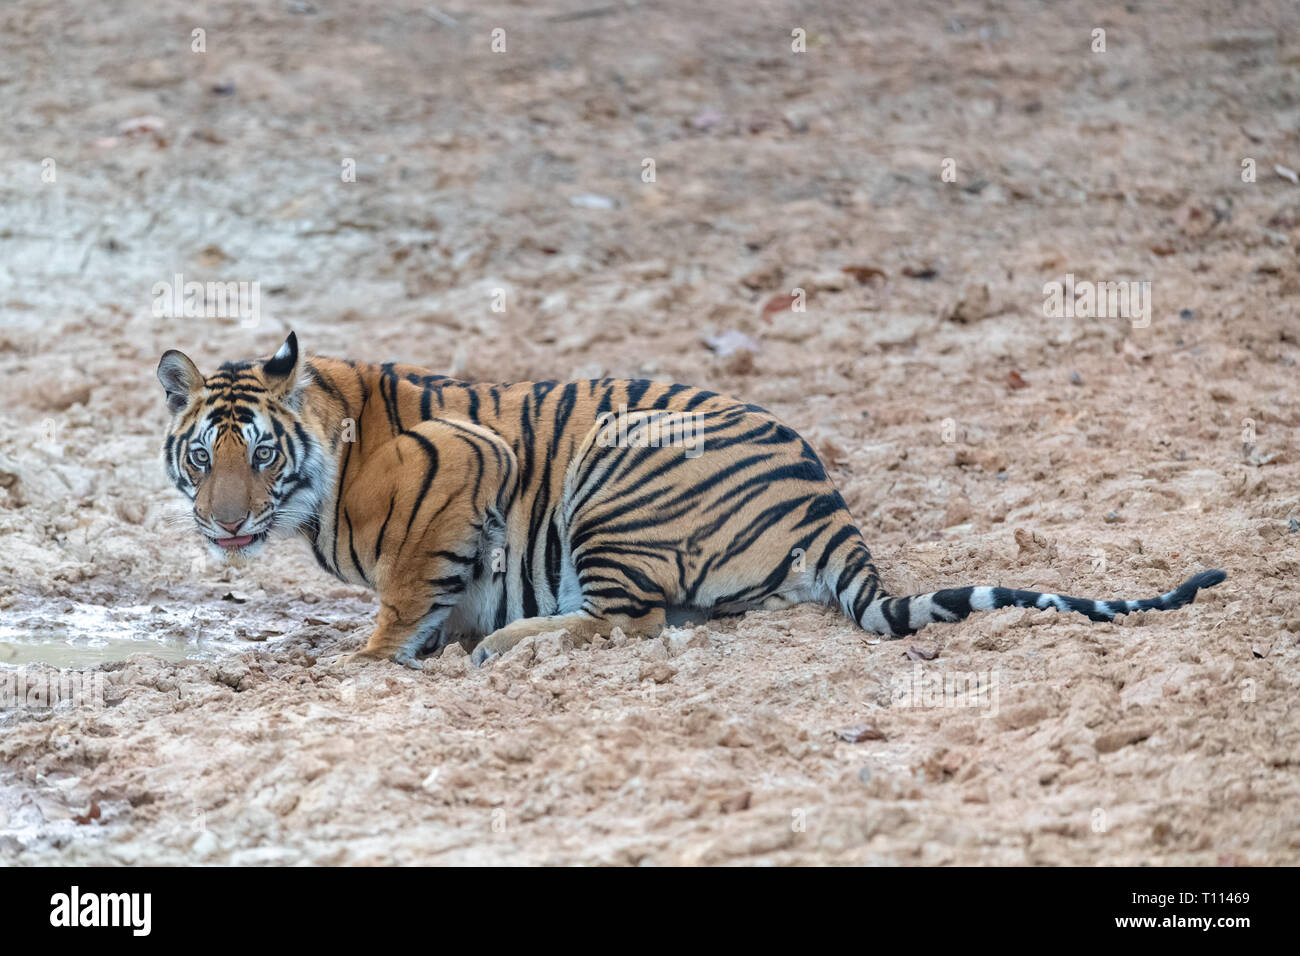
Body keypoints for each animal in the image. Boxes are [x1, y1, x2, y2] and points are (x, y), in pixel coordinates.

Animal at [156, 332, 1226, 668]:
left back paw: (513, 646)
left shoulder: (460, 466)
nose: (225, 524)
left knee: (628, 622)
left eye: (259, 454)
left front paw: (369, 661)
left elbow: (406, 596)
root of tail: (825, 496)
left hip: (613, 482)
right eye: (202, 459)